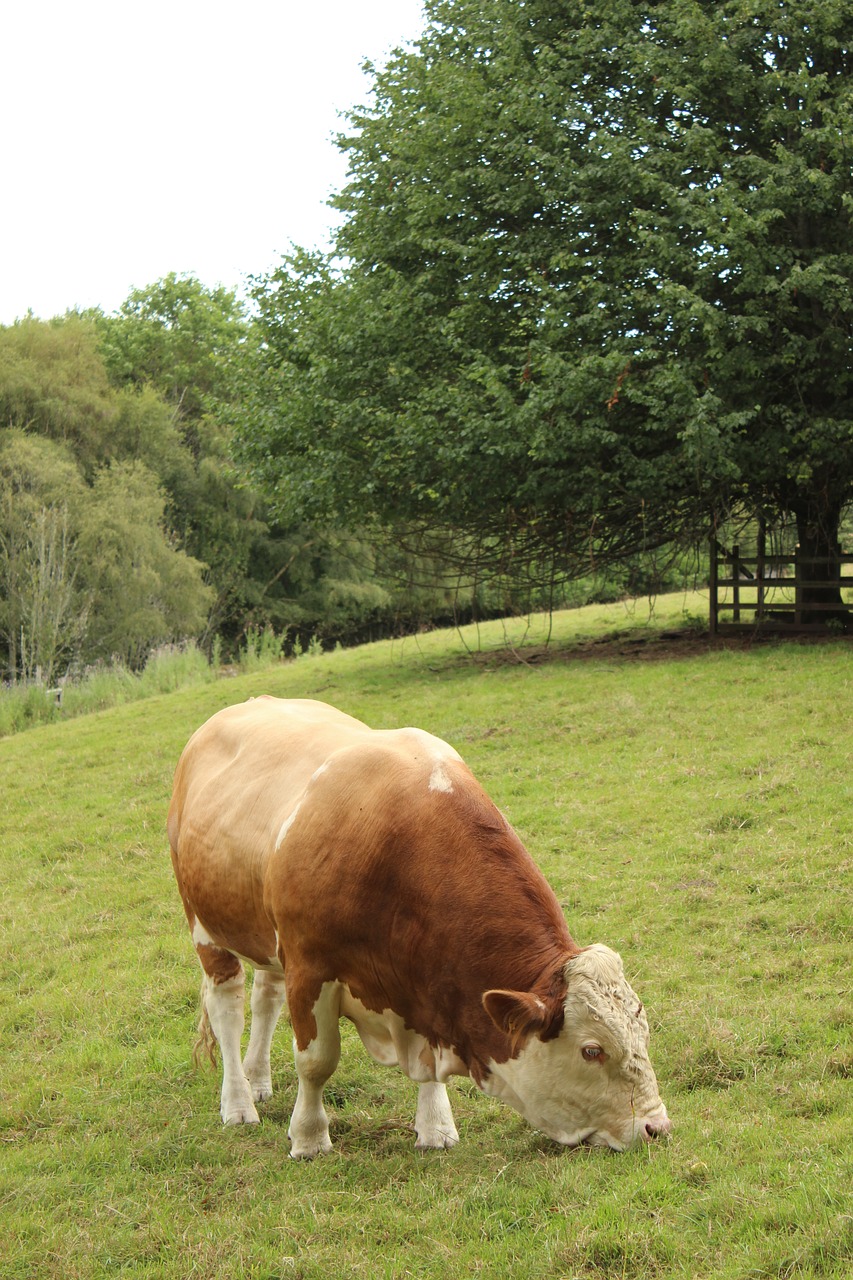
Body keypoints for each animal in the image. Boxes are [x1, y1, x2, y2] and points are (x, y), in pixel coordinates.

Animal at [167, 701, 671, 1162]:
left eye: (643, 1032)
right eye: (592, 1050)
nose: (656, 1127)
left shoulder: (426, 986)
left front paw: (435, 1126)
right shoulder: (310, 967)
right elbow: (316, 1061)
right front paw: (308, 1138)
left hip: (264, 936)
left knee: (265, 997)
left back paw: (257, 1079)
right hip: (205, 927)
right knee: (228, 1009)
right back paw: (238, 1102)